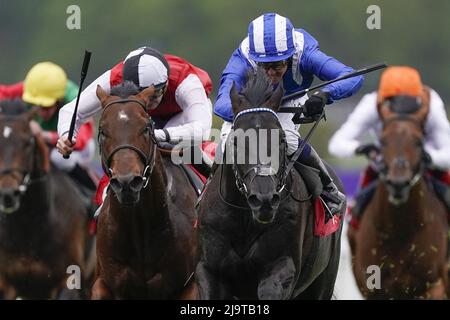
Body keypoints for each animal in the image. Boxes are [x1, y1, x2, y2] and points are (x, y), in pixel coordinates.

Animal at [194, 70, 344, 300]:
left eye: (281, 139)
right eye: (236, 141)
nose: (263, 199)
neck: (244, 218)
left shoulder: (282, 266)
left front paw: (317, 101)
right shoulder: (209, 270)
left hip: (322, 282)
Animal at [348, 91, 450, 298]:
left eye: (418, 141)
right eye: (384, 140)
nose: (398, 183)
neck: (400, 231)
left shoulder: (433, 285)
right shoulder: (376, 289)